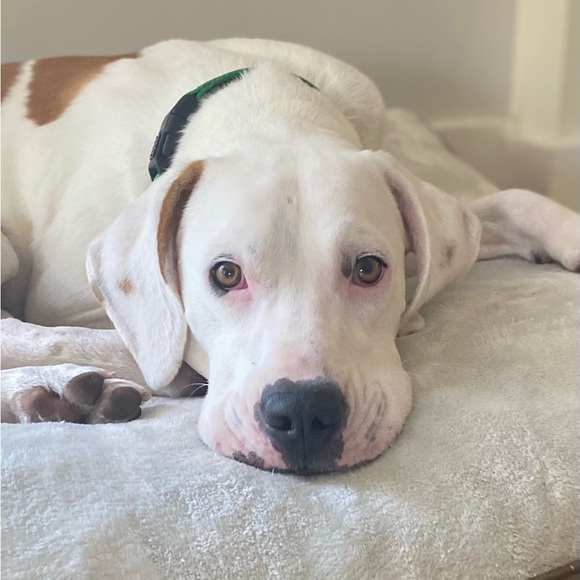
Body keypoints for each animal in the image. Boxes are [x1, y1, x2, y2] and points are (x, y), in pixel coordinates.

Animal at [2, 39, 579, 473]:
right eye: (226, 273)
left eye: (369, 268)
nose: (303, 414)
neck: (263, 110)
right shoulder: (59, 300)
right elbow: (84, 334)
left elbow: (507, 201)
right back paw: (62, 393)